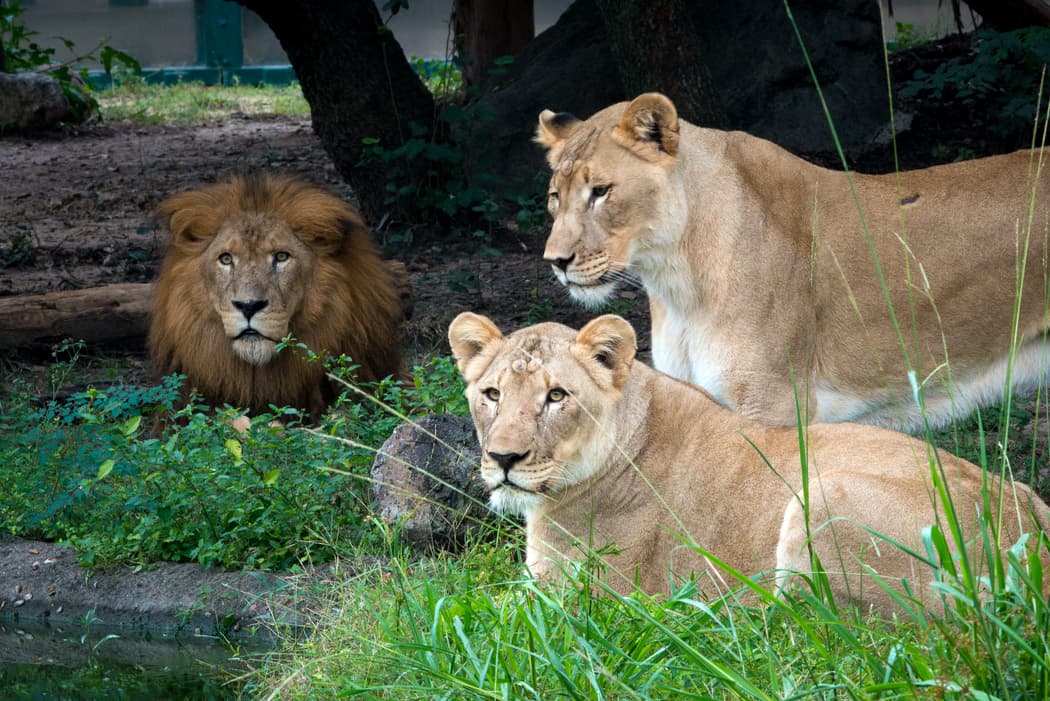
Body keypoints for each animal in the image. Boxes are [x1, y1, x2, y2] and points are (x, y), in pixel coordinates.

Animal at [449, 312, 1050, 612]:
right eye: (492, 394)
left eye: (557, 396)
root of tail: (1030, 534)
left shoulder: (579, 597)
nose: (503, 458)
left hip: (824, 499)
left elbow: (478, 610)